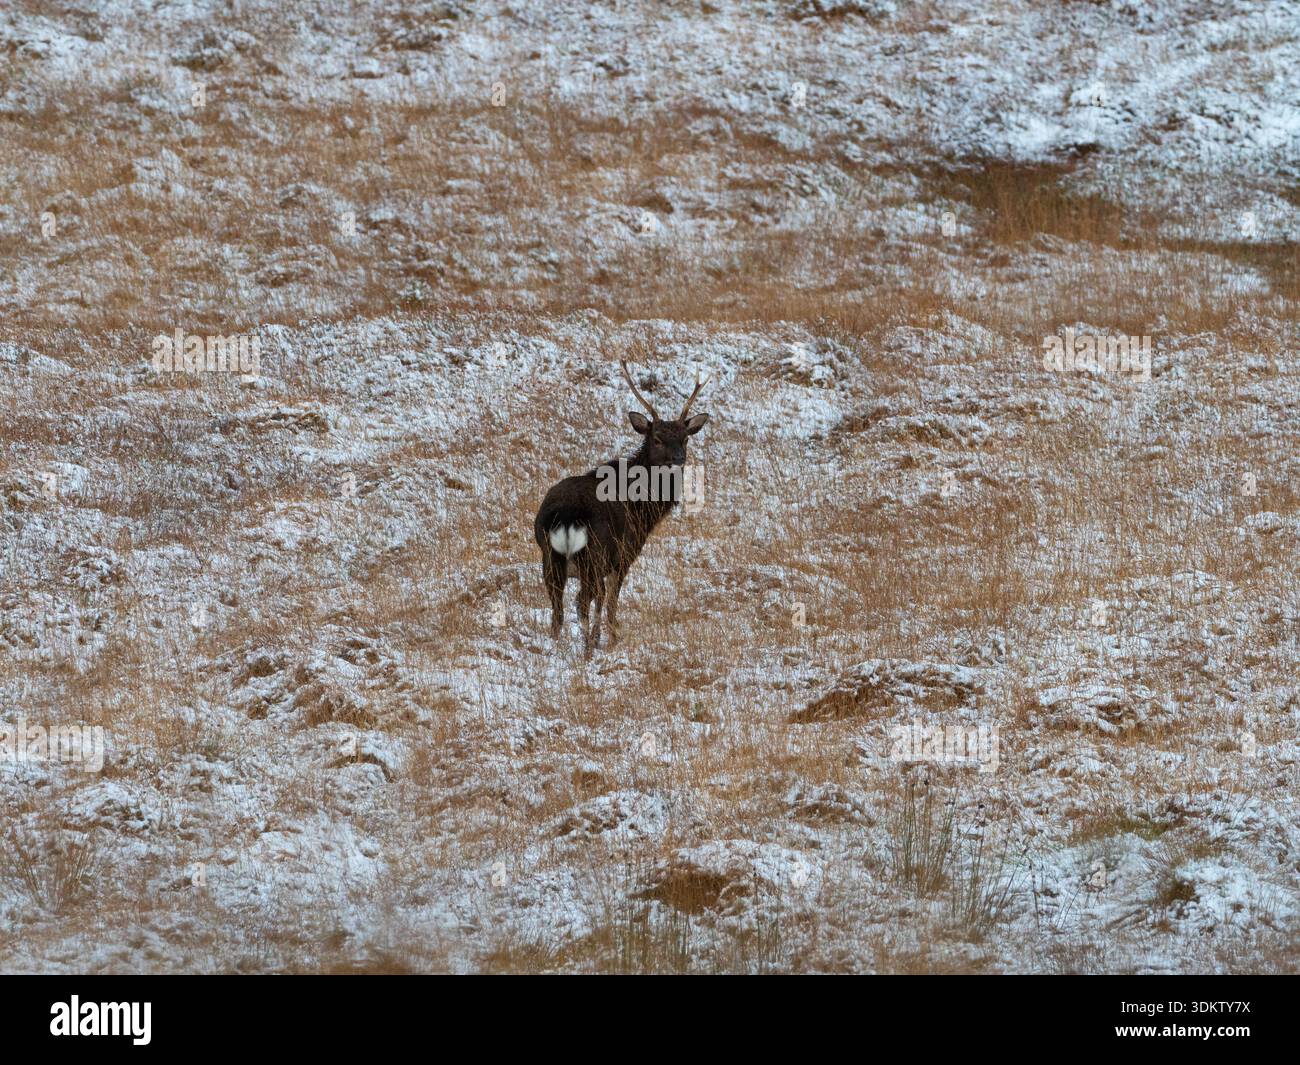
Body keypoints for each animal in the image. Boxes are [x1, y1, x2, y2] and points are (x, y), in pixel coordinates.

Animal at [533, 360, 710, 656]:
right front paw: (613, 639)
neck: (644, 508)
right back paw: (589, 647)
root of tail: (566, 516)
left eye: (685, 438)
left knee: (557, 612)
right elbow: (612, 604)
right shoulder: (625, 554)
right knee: (584, 602)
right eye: (657, 438)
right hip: (593, 555)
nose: (678, 459)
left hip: (550, 557)